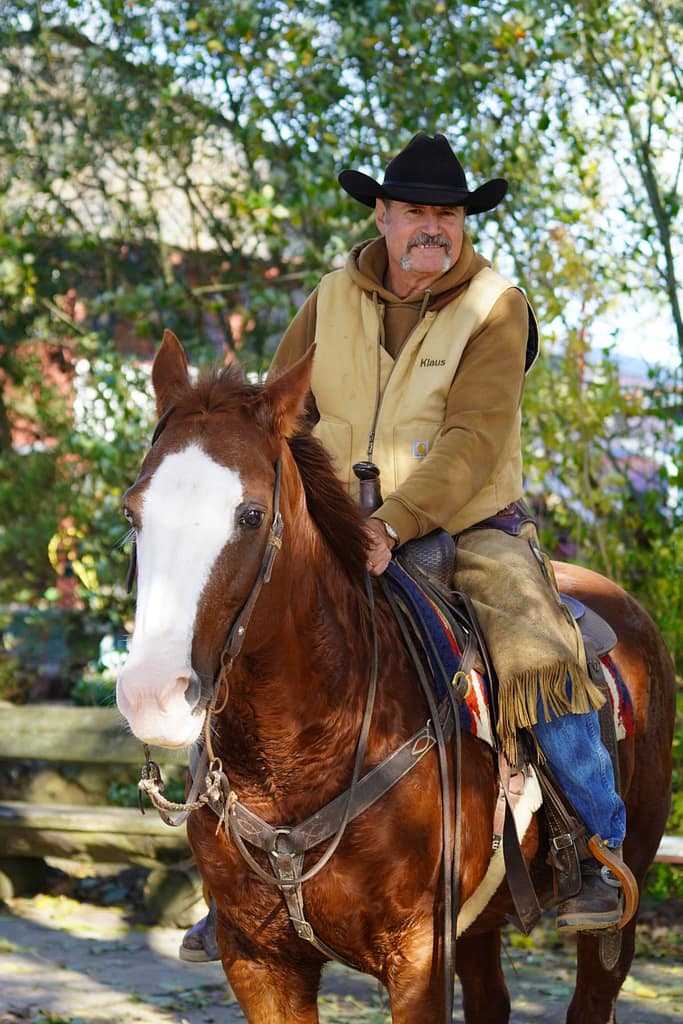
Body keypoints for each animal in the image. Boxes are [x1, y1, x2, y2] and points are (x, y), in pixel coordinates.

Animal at [116, 329, 675, 1024]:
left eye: (250, 515)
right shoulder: (257, 962)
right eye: (132, 513)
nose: (153, 696)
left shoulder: (418, 959)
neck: (302, 747)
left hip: (621, 900)